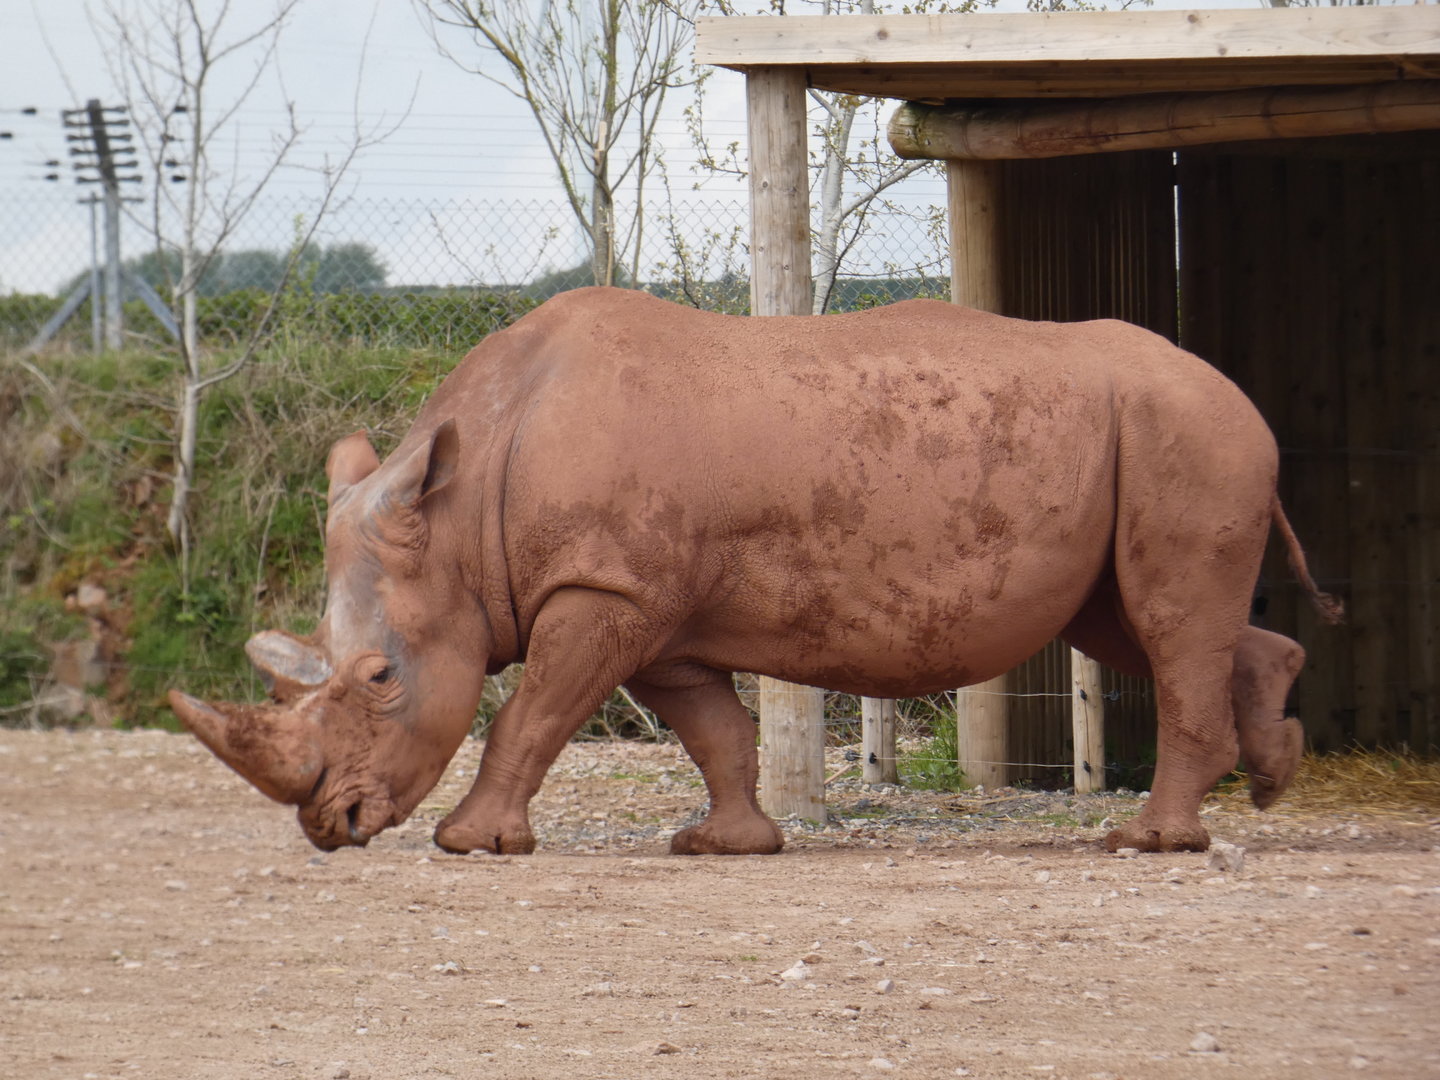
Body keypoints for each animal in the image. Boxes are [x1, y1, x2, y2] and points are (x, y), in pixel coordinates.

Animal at [169, 287, 1339, 856]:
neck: (464, 512)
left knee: (1167, 619)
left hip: (1186, 432)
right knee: (1133, 620)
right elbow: (712, 729)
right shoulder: (648, 606)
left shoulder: (602, 590)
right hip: (1149, 439)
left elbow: (530, 716)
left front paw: (471, 844)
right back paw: (1272, 774)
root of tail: (1240, 399)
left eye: (380, 680)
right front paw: (723, 845)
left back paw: (1147, 842)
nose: (330, 829)